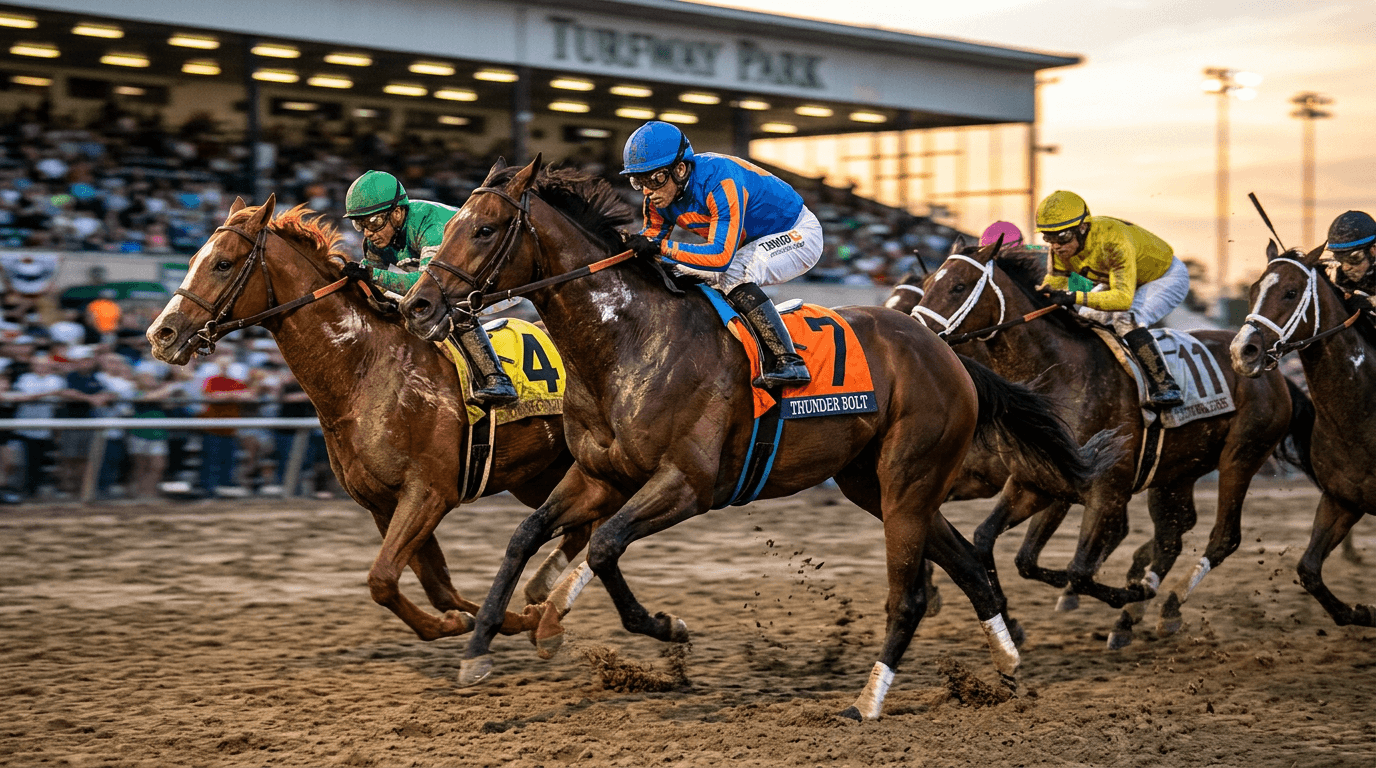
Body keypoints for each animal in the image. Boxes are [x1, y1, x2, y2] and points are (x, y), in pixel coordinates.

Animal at [146, 195, 588, 642]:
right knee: (577, 526)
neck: (366, 371)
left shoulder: (429, 493)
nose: (161, 334)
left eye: (223, 263)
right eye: (192, 260)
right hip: (538, 477)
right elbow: (435, 588)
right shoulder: (383, 503)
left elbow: (382, 578)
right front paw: (472, 620)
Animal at [397, 157, 1116, 720]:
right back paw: (1007, 665)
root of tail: (944, 351)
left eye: (483, 228)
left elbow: (601, 548)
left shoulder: (688, 484)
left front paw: (638, 626)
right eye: (446, 227)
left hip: (907, 481)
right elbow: (527, 537)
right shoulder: (600, 476)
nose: (417, 306)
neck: (628, 343)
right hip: (876, 484)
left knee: (910, 593)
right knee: (968, 564)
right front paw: (479, 647)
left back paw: (870, 700)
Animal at [903, 239, 1308, 648]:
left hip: (1241, 457)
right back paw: (1134, 616)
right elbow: (995, 544)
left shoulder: (1104, 490)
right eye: (927, 283)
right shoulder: (1034, 483)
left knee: (1222, 537)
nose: (917, 334)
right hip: (1176, 472)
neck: (1060, 376)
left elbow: (1078, 569)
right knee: (1172, 535)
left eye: (958, 286)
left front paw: (1126, 590)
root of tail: (1270, 368)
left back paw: (1157, 603)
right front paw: (1009, 618)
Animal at [1230, 241, 1371, 626]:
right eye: (1252, 291)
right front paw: (1361, 611)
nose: (1241, 351)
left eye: (1291, 293)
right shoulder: (1342, 499)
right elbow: (1308, 570)